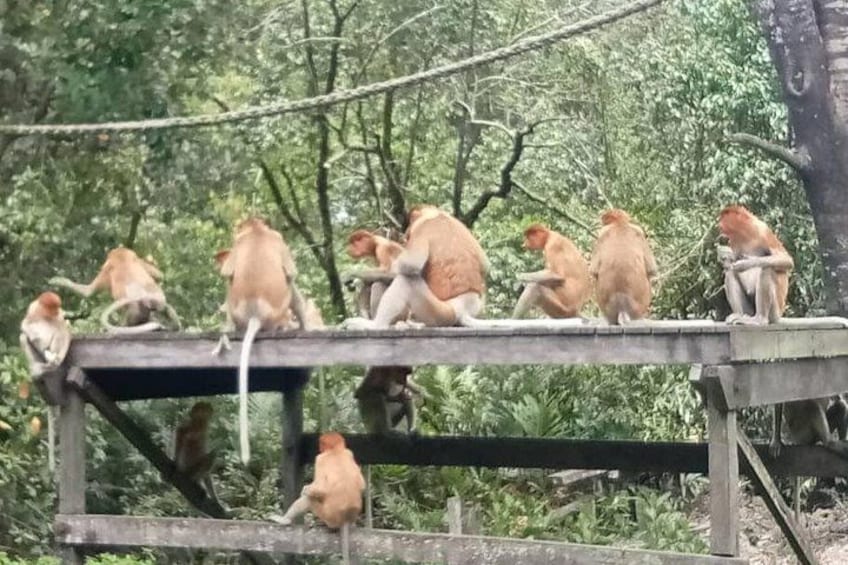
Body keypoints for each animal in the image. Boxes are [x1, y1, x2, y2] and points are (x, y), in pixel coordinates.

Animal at [19, 291, 72, 473]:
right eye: (51, 306)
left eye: (57, 306)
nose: (56, 311)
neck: (44, 313)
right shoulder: (32, 308)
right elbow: (26, 326)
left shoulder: (59, 316)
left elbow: (62, 326)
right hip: (37, 357)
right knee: (23, 337)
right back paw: (39, 367)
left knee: (62, 329)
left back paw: (53, 361)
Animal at [49, 247, 180, 333]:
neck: (121, 258)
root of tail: (145, 299)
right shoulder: (135, 258)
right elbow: (160, 275)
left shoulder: (107, 269)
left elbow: (88, 292)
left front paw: (57, 280)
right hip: (158, 300)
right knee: (166, 308)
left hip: (135, 311)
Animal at [213, 217, 309, 463]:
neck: (257, 231)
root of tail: (255, 313)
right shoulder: (277, 238)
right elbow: (292, 272)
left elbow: (227, 272)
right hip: (281, 305)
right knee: (290, 281)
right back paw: (301, 325)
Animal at [343, 205, 488, 329]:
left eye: (355, 242)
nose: (349, 249)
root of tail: (464, 308)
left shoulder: (389, 245)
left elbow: (408, 266)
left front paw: (350, 275)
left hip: (439, 312)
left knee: (400, 281)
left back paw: (376, 324)